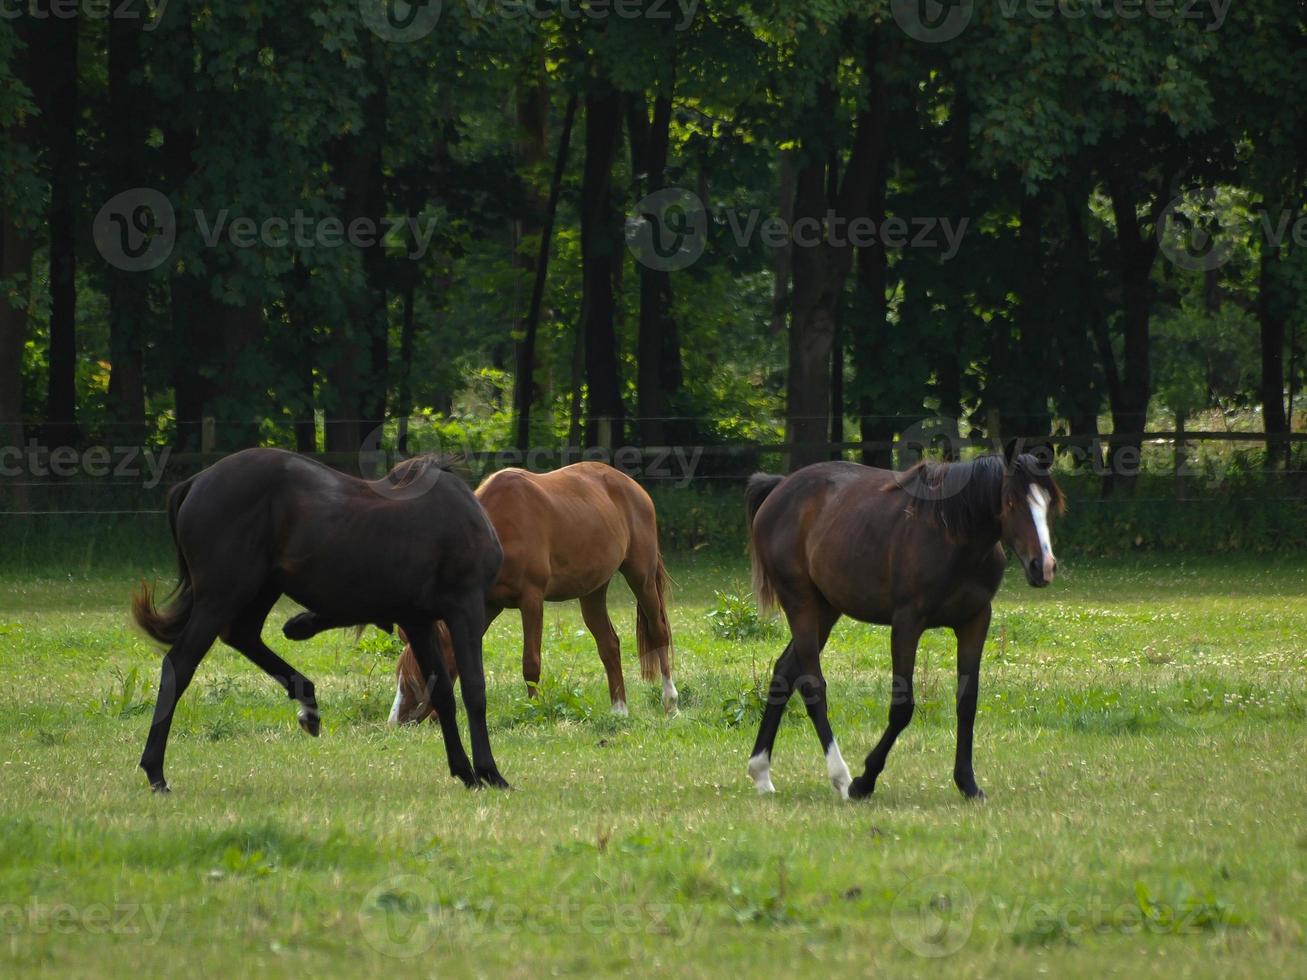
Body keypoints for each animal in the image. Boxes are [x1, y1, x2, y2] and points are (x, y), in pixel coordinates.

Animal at [132, 449, 507, 794]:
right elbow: (474, 691)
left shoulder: (419, 622)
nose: (303, 623)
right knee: (180, 664)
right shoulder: (464, 609)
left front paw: (465, 772)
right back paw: (155, 773)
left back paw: (308, 703)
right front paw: (490, 772)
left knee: (242, 636)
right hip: (221, 597)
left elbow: (441, 693)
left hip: (260, 590)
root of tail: (196, 482)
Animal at [381, 459, 674, 721]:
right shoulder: (488, 604)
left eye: (416, 675)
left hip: (641, 577)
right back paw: (619, 710)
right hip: (593, 590)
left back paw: (670, 702)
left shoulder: (532, 600)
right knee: (609, 645)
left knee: (658, 632)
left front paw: (533, 710)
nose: (395, 721)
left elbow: (530, 663)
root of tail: (633, 487)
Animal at [747, 457, 1061, 799]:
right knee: (811, 685)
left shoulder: (975, 621)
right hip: (801, 603)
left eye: (1047, 503)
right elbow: (902, 707)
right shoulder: (907, 624)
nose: (1043, 566)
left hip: (826, 609)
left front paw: (968, 783)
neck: (953, 536)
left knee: (784, 671)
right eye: (1012, 502)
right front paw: (865, 780)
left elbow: (967, 702)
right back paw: (841, 778)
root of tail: (779, 488)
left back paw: (761, 772)